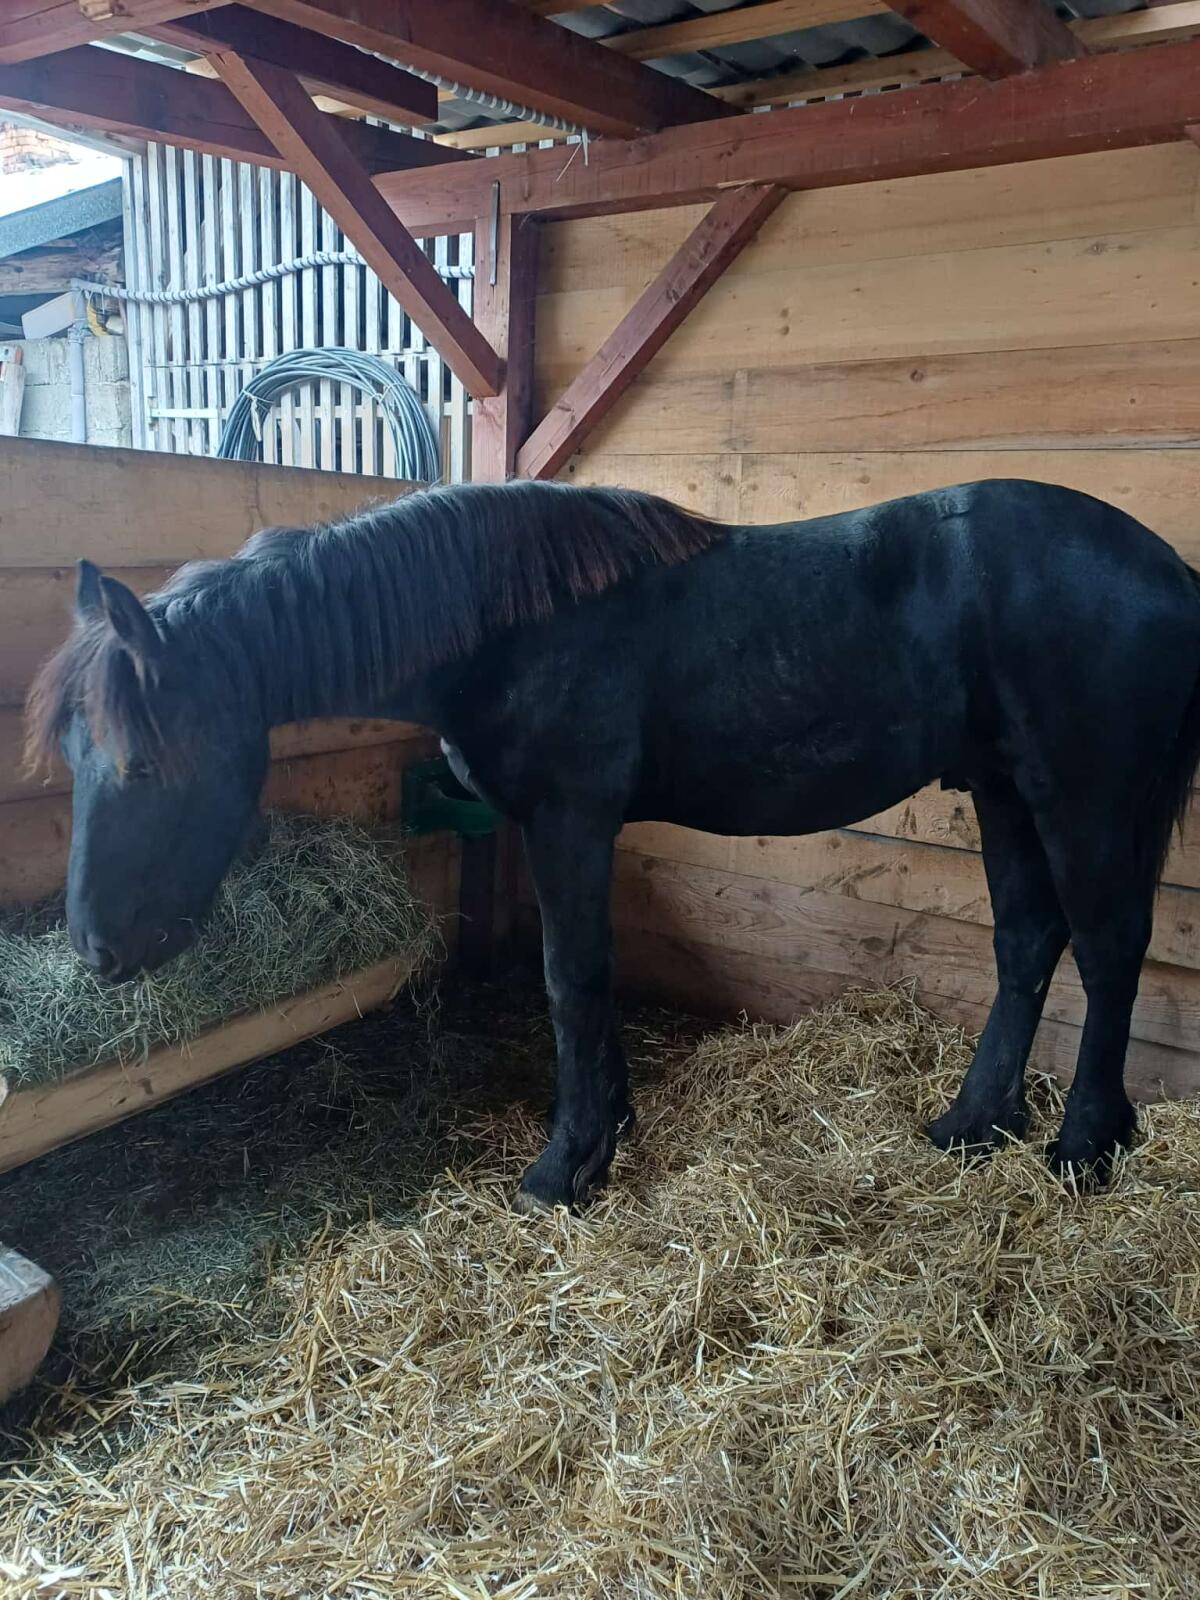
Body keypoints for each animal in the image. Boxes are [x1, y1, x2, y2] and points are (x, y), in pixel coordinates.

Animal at [25, 477, 1200, 1210]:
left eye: (138, 766)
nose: (95, 951)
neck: (509, 626)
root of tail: (1166, 570)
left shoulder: (571, 819)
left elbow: (571, 978)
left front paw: (567, 1167)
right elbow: (585, 979)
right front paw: (609, 1131)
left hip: (1081, 795)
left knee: (1108, 951)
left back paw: (1084, 1145)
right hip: (1003, 790)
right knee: (1028, 943)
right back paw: (972, 1122)